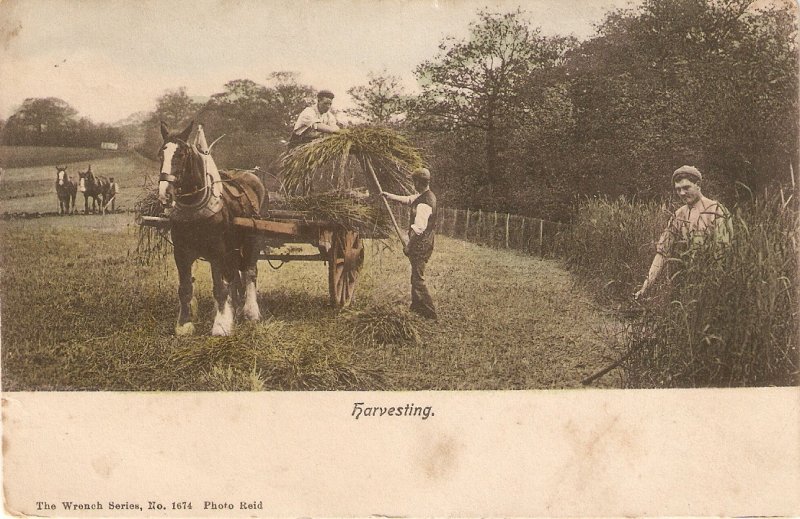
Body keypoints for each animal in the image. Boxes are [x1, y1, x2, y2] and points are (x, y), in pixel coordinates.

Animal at [158, 121, 268, 338]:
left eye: (181, 154)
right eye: (161, 154)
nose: (164, 194)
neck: (195, 207)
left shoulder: (218, 251)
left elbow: (220, 287)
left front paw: (221, 325)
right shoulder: (181, 252)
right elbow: (185, 288)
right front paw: (184, 324)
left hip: (251, 241)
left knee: (250, 273)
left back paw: (251, 311)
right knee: (234, 276)